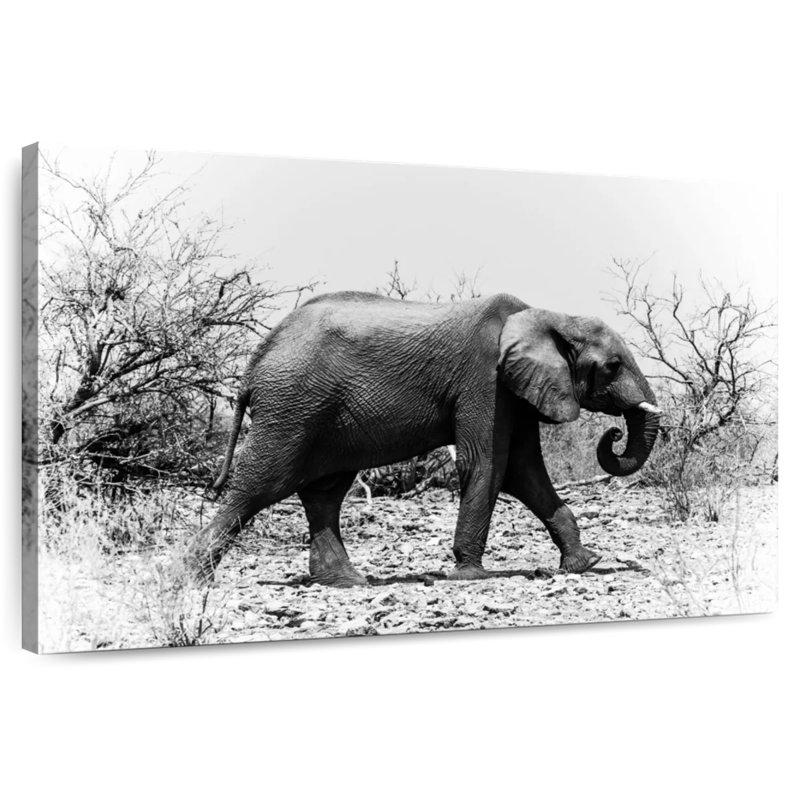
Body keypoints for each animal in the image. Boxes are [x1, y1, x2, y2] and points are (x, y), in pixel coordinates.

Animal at [186, 291, 660, 587]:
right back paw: (190, 577)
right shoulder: (484, 380)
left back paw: (348, 582)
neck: (546, 315)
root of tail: (254, 364)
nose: (614, 432)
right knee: (259, 486)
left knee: (324, 493)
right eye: (614, 366)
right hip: (291, 406)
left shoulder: (517, 391)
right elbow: (487, 464)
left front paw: (585, 564)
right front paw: (471, 577)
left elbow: (524, 472)